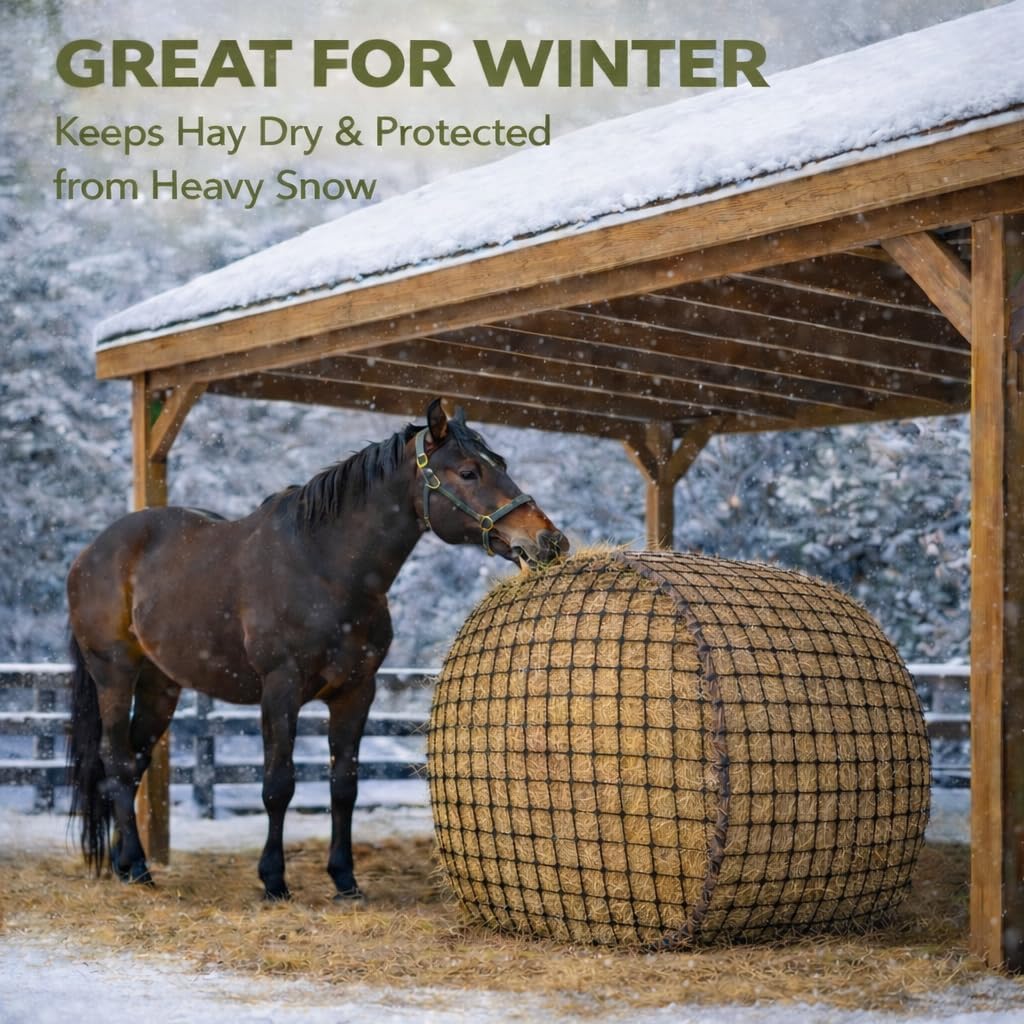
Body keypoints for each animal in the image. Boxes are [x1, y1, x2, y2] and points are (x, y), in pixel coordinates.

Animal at [66, 399, 568, 900]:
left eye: (501, 464)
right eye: (468, 472)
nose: (549, 541)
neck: (324, 566)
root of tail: (90, 553)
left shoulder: (356, 692)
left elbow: (344, 785)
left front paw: (344, 878)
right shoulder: (280, 690)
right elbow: (278, 784)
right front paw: (273, 880)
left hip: (160, 685)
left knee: (134, 762)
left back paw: (124, 863)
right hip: (115, 674)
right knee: (116, 761)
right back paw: (138, 867)